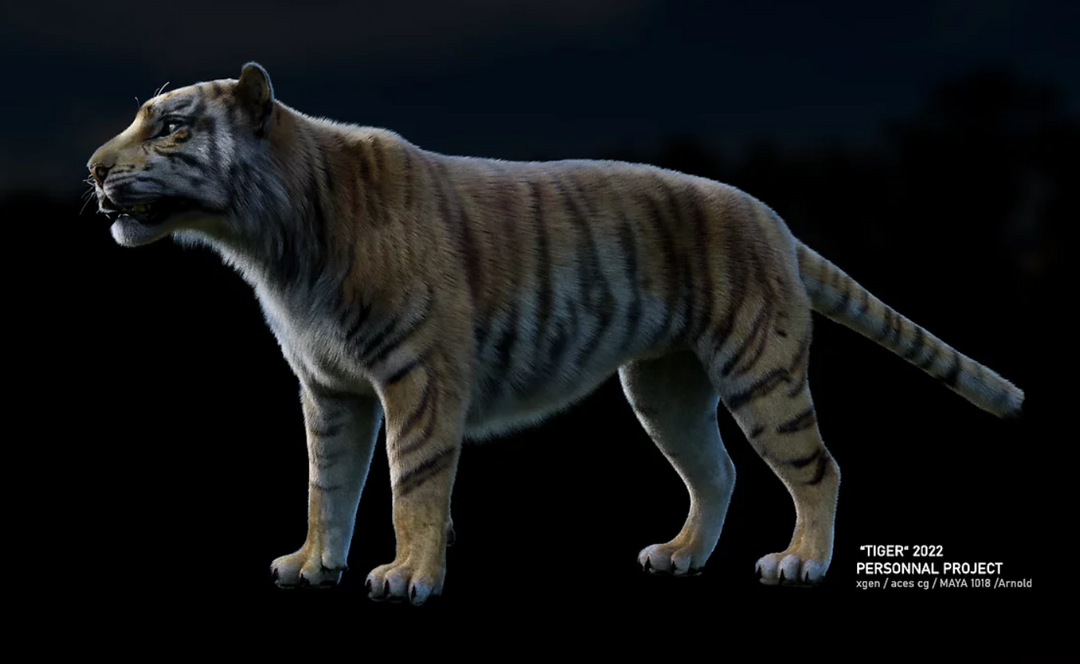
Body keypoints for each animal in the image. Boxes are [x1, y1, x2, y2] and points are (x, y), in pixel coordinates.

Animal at [87, 62, 1024, 605]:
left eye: (169, 125)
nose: (93, 170)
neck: (269, 242)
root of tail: (773, 218)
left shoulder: (419, 376)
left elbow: (409, 484)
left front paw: (408, 578)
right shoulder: (327, 386)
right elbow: (328, 482)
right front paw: (313, 564)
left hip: (761, 373)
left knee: (817, 466)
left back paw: (800, 562)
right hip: (664, 388)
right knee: (716, 470)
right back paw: (681, 556)